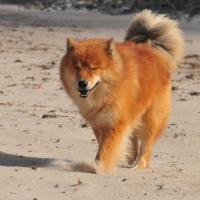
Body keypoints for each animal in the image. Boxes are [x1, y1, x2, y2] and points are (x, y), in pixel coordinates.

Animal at [59, 9, 184, 172]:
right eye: (77, 67)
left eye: (93, 68)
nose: (82, 83)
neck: (106, 93)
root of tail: (151, 50)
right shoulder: (99, 124)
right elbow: (104, 145)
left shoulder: (115, 123)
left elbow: (107, 148)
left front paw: (98, 166)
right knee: (134, 137)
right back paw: (132, 157)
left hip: (151, 117)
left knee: (147, 144)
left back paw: (140, 164)